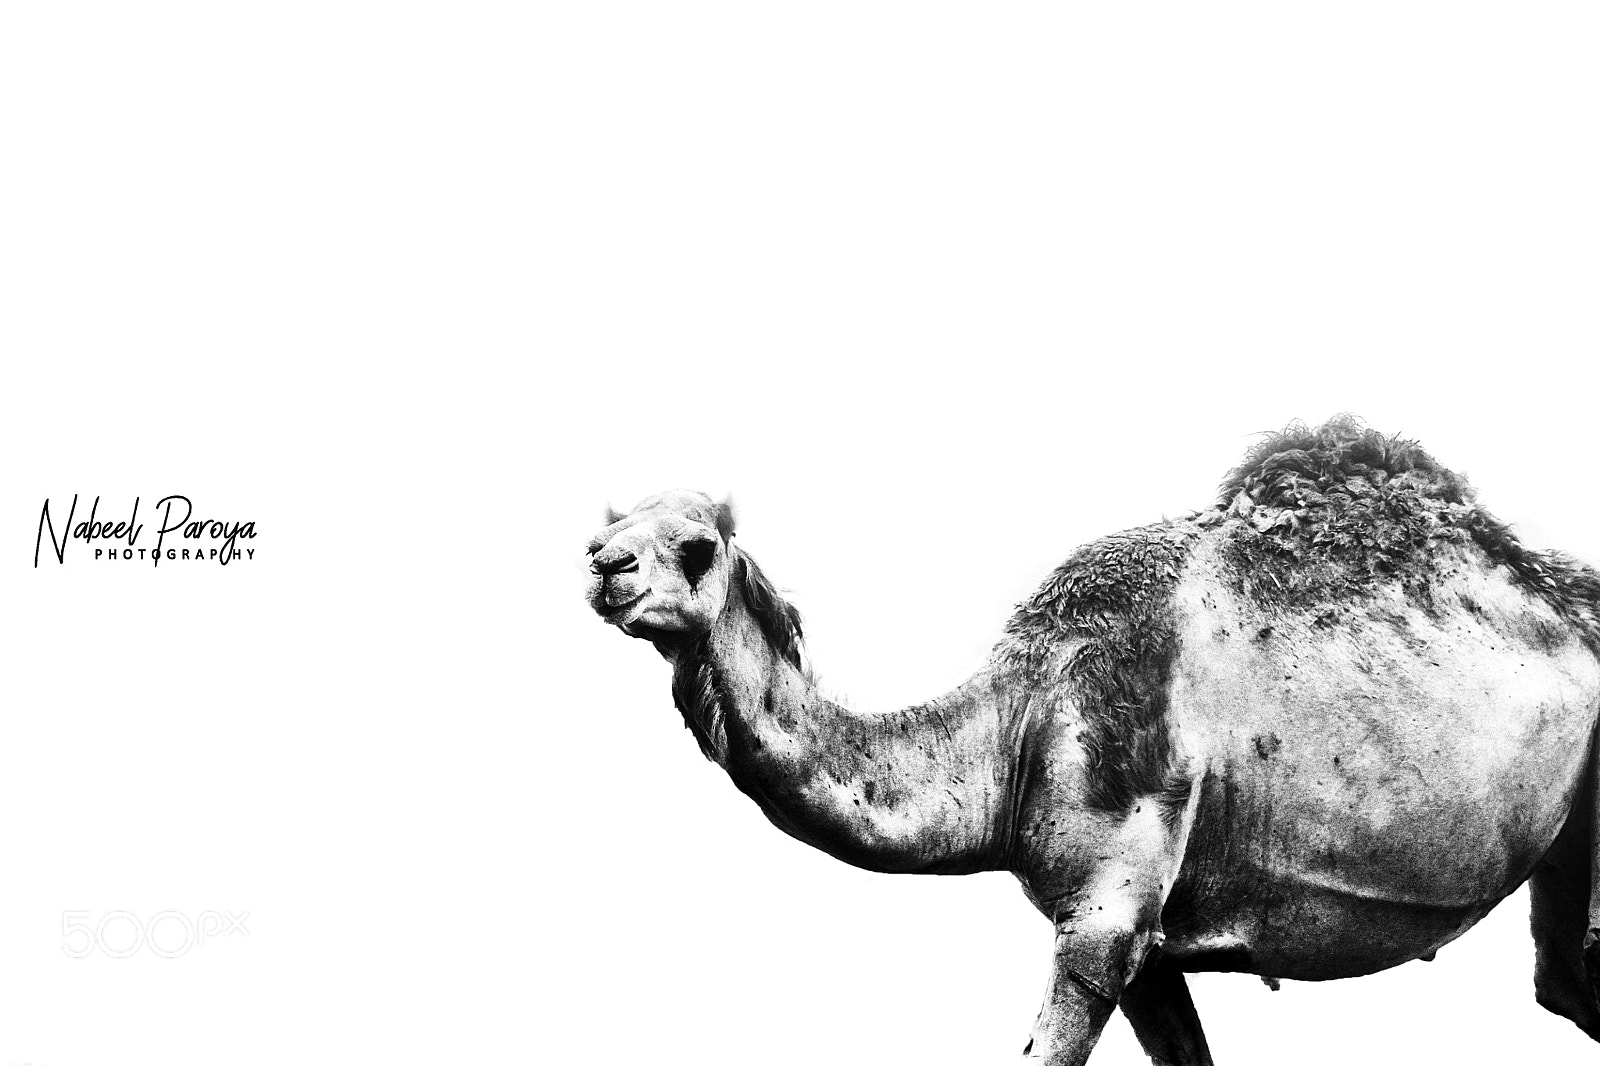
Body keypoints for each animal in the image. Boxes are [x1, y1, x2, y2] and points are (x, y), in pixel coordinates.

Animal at [583, 417, 1600, 1065]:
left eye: (695, 547)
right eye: (610, 527)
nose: (604, 567)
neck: (1019, 722)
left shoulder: (1105, 914)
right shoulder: (1147, 946)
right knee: (1563, 981)